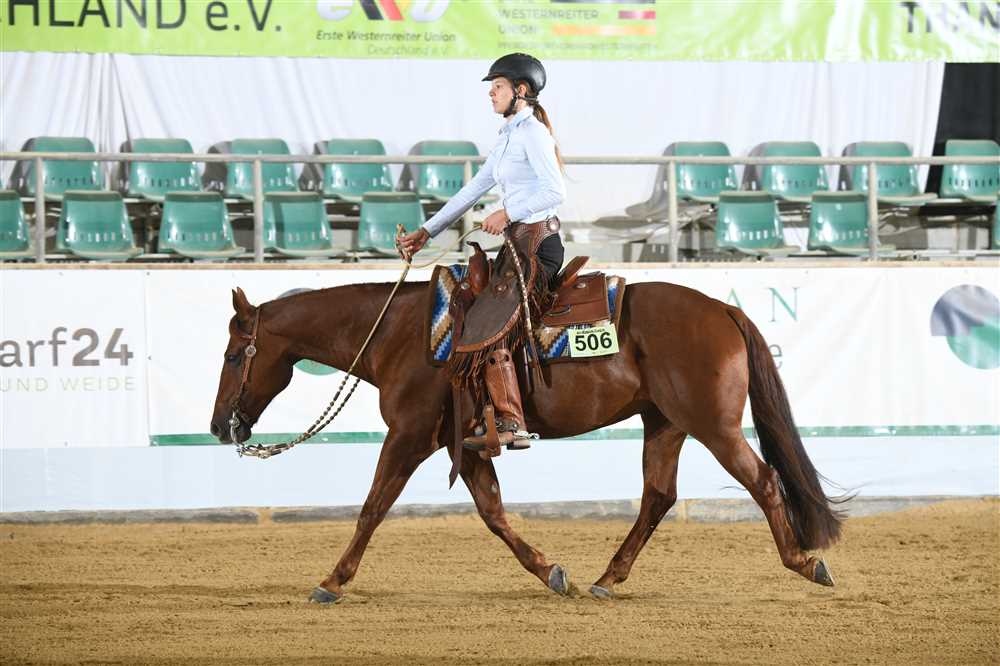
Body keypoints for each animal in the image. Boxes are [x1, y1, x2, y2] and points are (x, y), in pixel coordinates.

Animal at [210, 280, 843, 603]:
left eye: (234, 354)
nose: (221, 426)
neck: (399, 332)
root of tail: (724, 309)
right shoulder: (464, 445)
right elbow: (492, 512)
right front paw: (551, 571)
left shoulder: (408, 434)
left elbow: (372, 506)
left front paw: (331, 582)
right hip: (665, 422)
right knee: (658, 496)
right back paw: (606, 580)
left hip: (713, 425)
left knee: (763, 481)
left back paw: (805, 563)